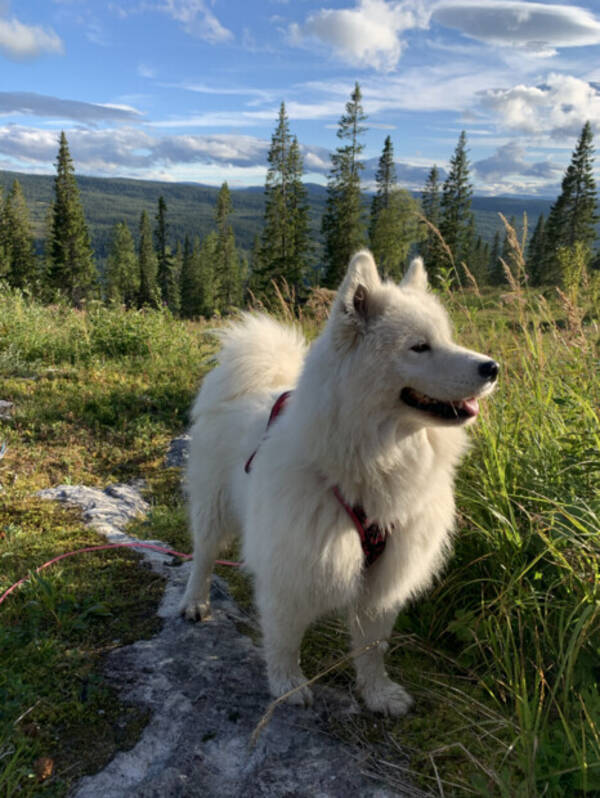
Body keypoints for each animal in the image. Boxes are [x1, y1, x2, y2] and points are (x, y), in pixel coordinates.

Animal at [180, 252, 500, 720]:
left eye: (447, 338)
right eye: (419, 346)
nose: (493, 367)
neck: (373, 464)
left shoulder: (385, 578)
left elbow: (372, 648)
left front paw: (378, 692)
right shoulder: (293, 566)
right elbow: (284, 639)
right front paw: (288, 685)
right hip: (213, 507)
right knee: (203, 557)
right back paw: (194, 602)